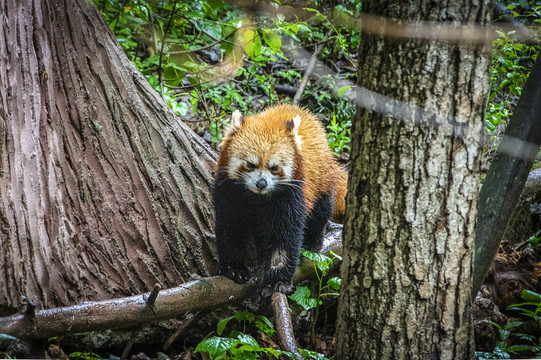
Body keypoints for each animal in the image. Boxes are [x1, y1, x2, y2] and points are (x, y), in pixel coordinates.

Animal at [211, 104, 346, 296]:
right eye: (250, 164)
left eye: (274, 168)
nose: (261, 183)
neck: (257, 197)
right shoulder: (228, 192)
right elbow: (230, 227)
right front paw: (233, 267)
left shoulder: (290, 197)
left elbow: (284, 237)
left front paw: (276, 280)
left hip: (322, 181)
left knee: (320, 212)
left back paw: (312, 241)